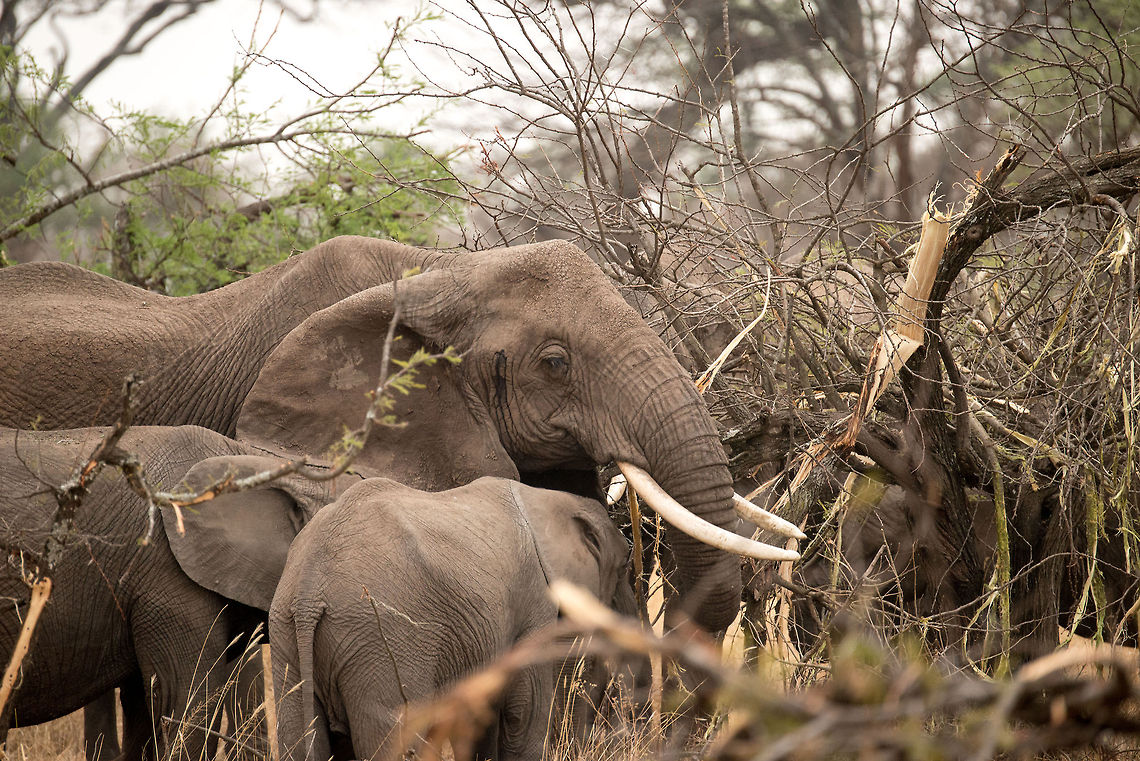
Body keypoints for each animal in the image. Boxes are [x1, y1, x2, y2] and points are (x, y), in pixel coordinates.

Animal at [268, 476, 634, 761]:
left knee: (299, 739)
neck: (547, 499)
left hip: (288, 635)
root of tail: (308, 589)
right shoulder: (533, 601)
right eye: (622, 567)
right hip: (380, 640)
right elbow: (526, 710)